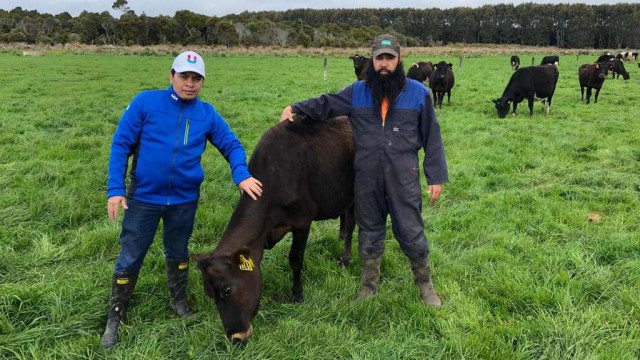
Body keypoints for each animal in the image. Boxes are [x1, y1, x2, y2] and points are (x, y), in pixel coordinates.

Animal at [192, 116, 358, 344]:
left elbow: (295, 259)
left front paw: (297, 294)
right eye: (210, 295)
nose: (235, 337)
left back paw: (346, 257)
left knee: (351, 222)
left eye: (227, 290)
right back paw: (340, 236)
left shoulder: (302, 221)